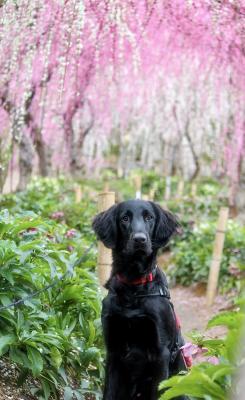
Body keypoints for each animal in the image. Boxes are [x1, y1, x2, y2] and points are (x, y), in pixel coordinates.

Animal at [93, 200, 189, 400]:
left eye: (149, 217)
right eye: (124, 218)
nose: (139, 239)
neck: (134, 287)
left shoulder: (161, 353)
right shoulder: (113, 350)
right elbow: (109, 392)